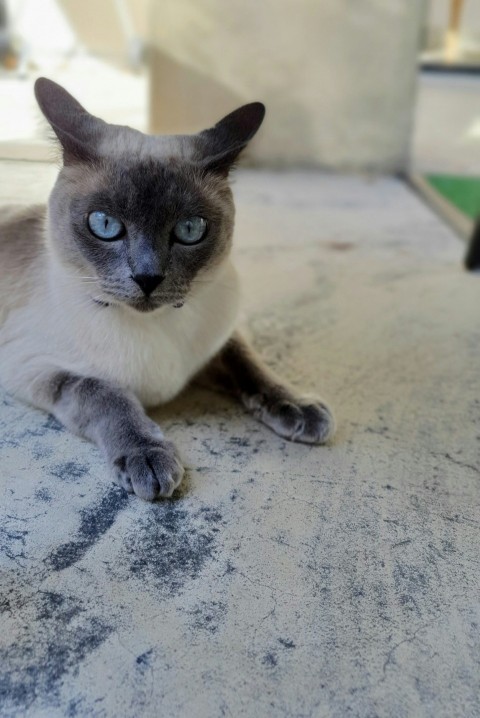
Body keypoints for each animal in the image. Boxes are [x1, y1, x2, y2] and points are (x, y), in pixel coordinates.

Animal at [0, 79, 336, 500]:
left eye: (190, 230)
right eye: (105, 224)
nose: (147, 278)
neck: (152, 326)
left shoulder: (221, 338)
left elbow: (250, 365)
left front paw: (299, 407)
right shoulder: (32, 367)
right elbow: (105, 394)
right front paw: (148, 457)